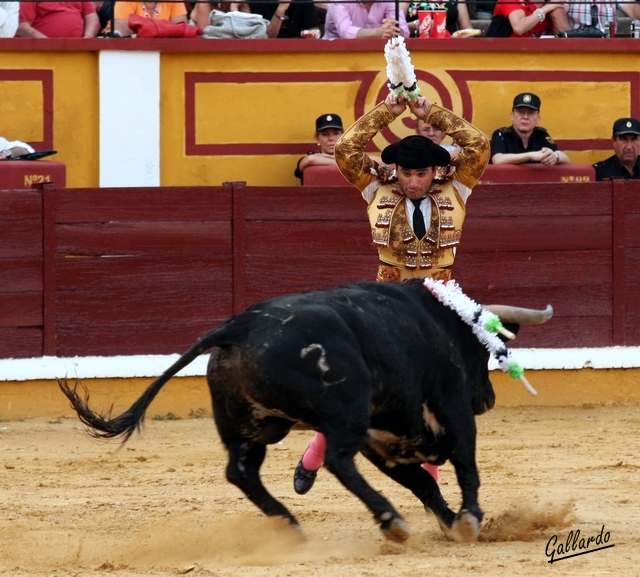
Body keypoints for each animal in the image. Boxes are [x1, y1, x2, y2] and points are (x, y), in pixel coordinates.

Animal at [58, 280, 552, 544]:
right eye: (488, 350)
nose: (486, 399)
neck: (440, 322)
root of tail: (238, 327)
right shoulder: (449, 410)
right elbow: (466, 467)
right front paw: (468, 521)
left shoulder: (385, 443)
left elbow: (425, 486)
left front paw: (451, 524)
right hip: (345, 413)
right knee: (336, 459)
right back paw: (389, 522)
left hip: (252, 427)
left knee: (241, 472)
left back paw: (288, 524)